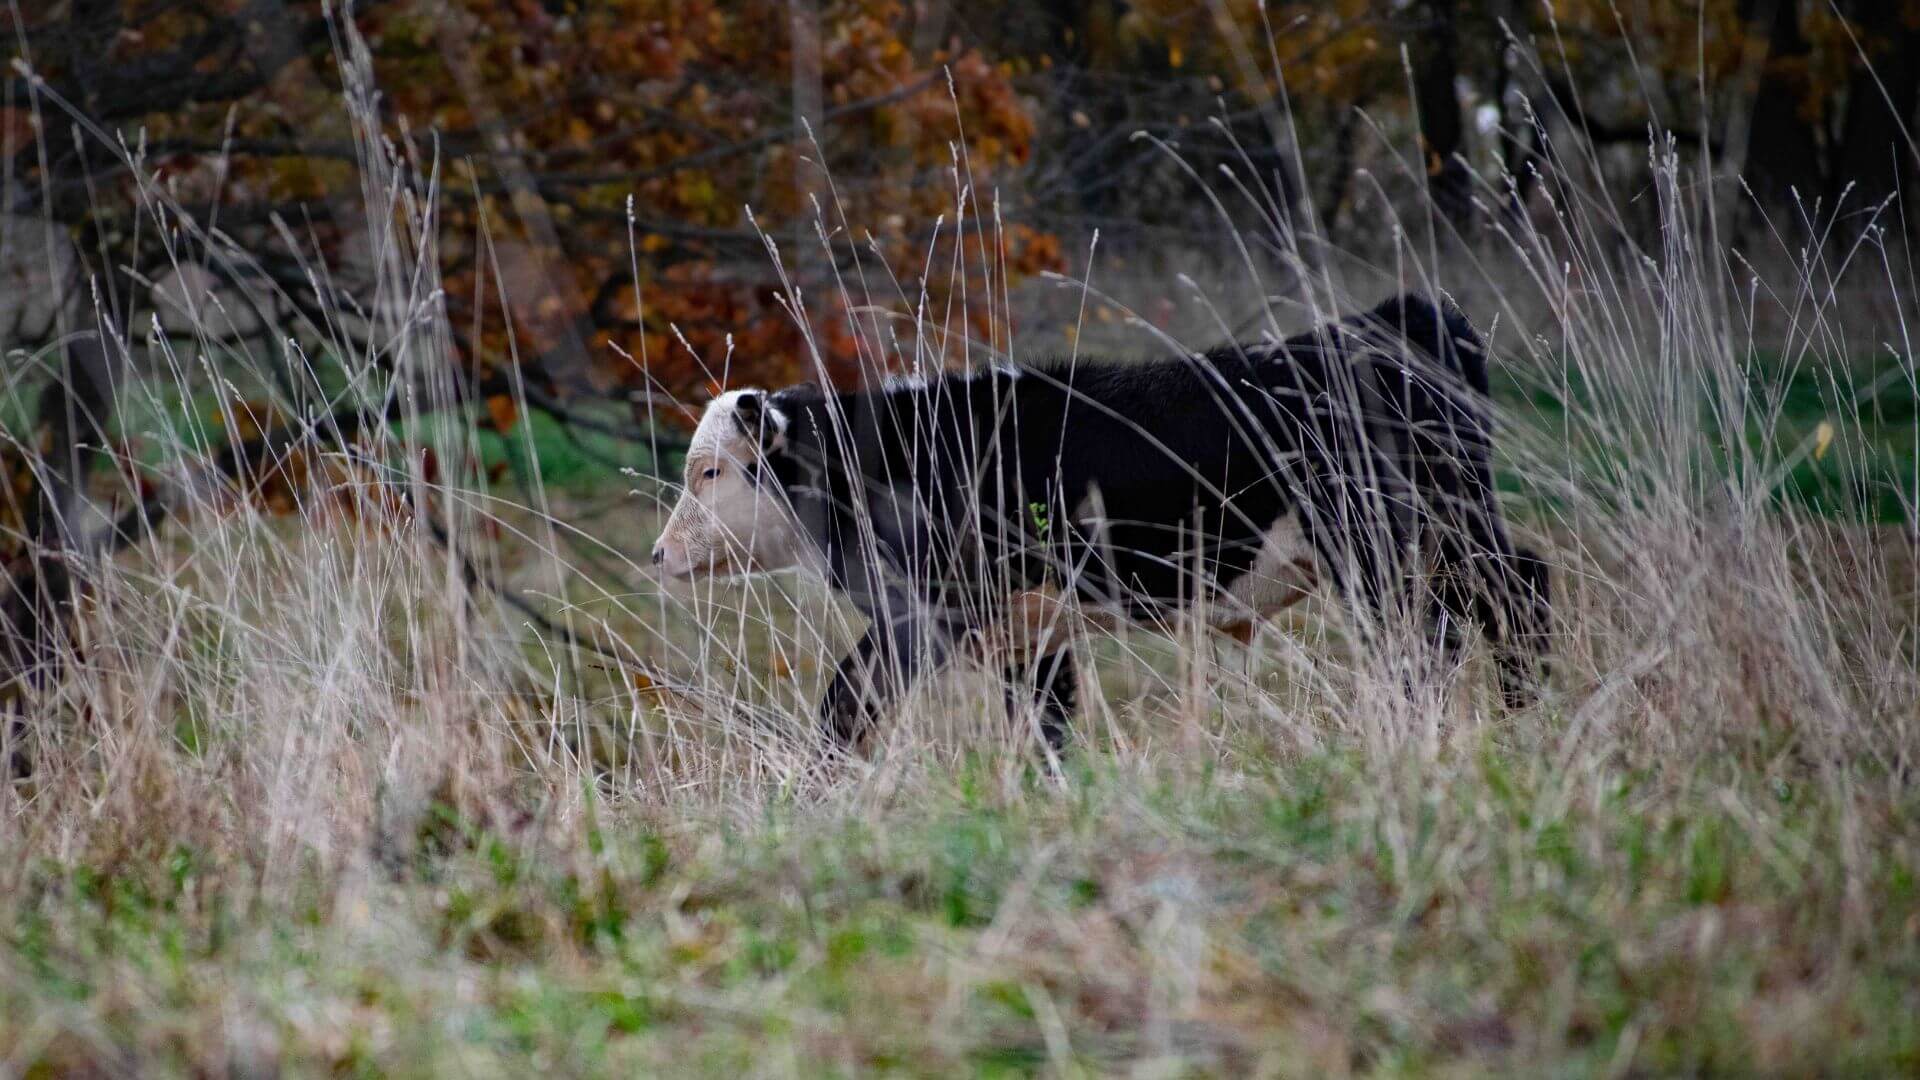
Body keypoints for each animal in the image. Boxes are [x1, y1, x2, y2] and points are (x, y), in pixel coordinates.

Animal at [651, 293, 1551, 755]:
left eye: (709, 472)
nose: (659, 553)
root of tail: (1393, 317)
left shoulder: (931, 614)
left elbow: (844, 699)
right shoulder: (1030, 632)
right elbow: (1047, 728)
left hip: (1380, 546)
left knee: (1431, 637)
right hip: (1455, 529)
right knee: (1516, 590)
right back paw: (1526, 712)